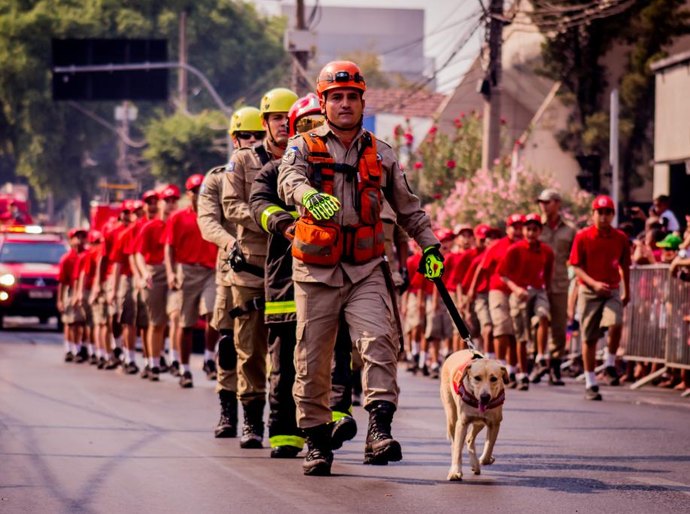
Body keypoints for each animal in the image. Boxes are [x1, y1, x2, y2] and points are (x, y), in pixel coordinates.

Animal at [438, 348, 508, 480]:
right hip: (451, 415)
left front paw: (485, 459)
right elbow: (458, 449)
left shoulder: (495, 423)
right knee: (454, 443)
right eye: (477, 378)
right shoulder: (462, 423)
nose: (485, 397)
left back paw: (475, 464)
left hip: (479, 422)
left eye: (494, 379)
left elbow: (489, 446)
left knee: (469, 438)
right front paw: (455, 471)